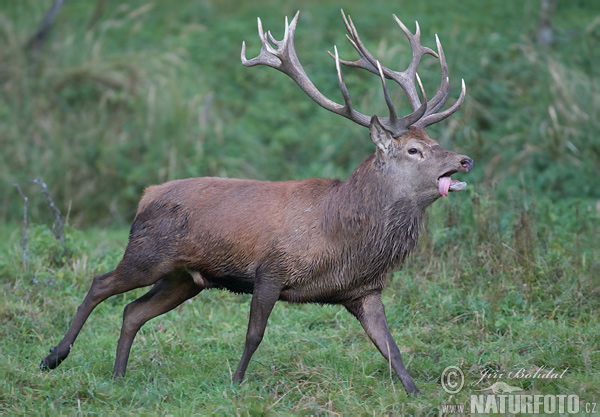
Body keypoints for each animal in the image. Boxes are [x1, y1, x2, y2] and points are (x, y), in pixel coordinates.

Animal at [41, 8, 474, 394]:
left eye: (436, 141)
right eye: (415, 150)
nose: (464, 160)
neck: (343, 237)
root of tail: (148, 194)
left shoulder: (364, 290)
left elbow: (392, 349)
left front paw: (415, 393)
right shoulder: (270, 270)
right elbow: (255, 334)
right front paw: (234, 383)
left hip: (183, 278)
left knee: (132, 311)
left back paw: (118, 376)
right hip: (148, 253)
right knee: (100, 284)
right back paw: (54, 357)